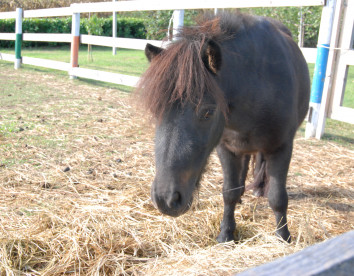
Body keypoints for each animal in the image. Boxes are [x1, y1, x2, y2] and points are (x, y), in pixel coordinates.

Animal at [137, 12, 308, 242]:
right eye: (156, 111)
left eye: (208, 112)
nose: (165, 199)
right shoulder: (227, 148)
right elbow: (229, 192)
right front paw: (226, 233)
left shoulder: (281, 148)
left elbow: (278, 197)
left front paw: (283, 235)